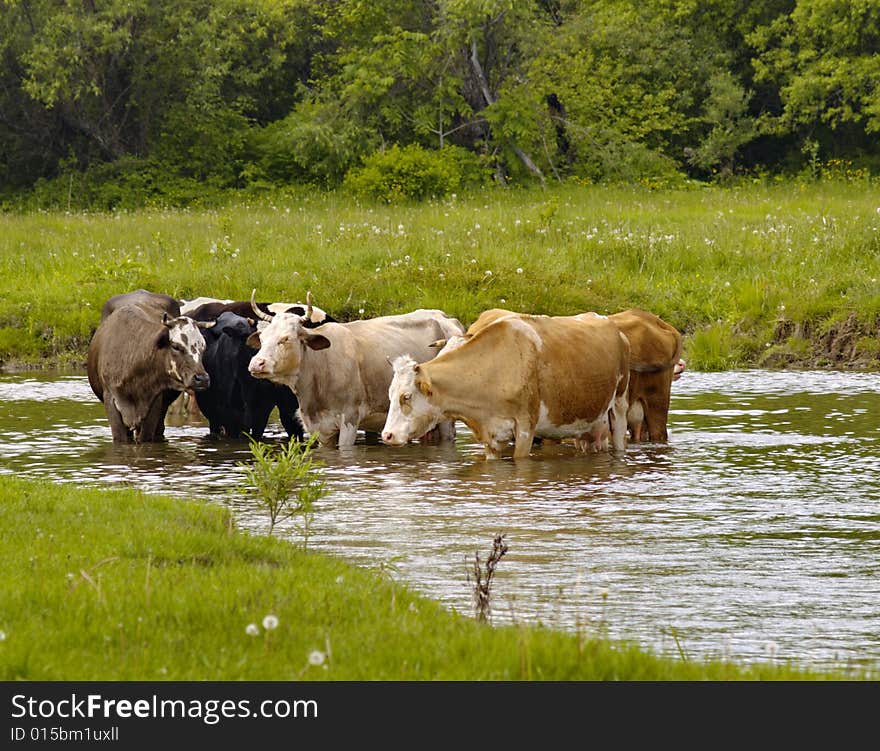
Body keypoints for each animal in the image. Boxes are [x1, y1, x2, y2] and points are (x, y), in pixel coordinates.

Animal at [382, 310, 628, 458]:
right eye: (390, 395)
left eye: (407, 396)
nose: (387, 435)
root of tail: (609, 322)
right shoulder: (492, 437)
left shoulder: (525, 430)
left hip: (619, 406)